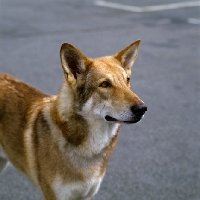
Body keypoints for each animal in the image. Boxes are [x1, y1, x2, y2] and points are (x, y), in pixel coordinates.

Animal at [0, 39, 147, 199]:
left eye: (127, 80)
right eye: (105, 84)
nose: (142, 108)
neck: (90, 149)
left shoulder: (87, 195)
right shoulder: (54, 196)